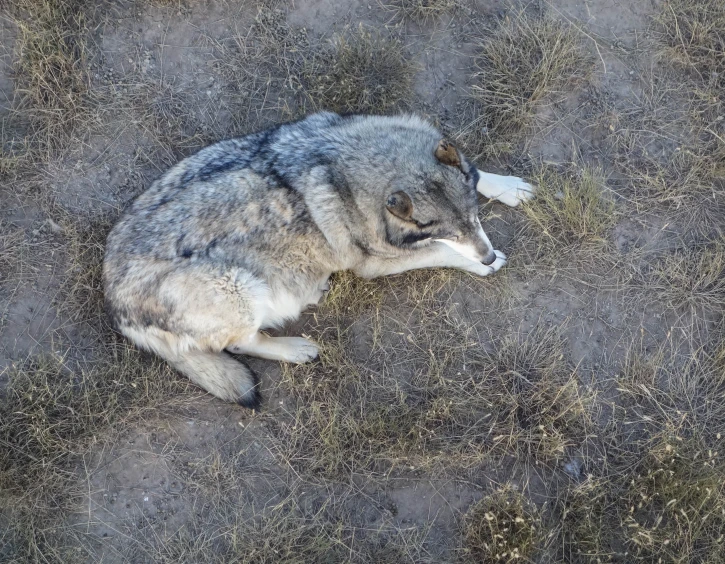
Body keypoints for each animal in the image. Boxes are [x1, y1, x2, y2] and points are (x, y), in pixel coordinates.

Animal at [103, 112, 532, 408]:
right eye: (449, 233)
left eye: (475, 219)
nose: (486, 254)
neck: (345, 167)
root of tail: (114, 306)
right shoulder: (375, 264)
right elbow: (440, 254)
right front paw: (484, 264)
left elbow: (478, 173)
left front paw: (509, 187)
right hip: (239, 287)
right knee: (242, 344)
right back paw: (297, 348)